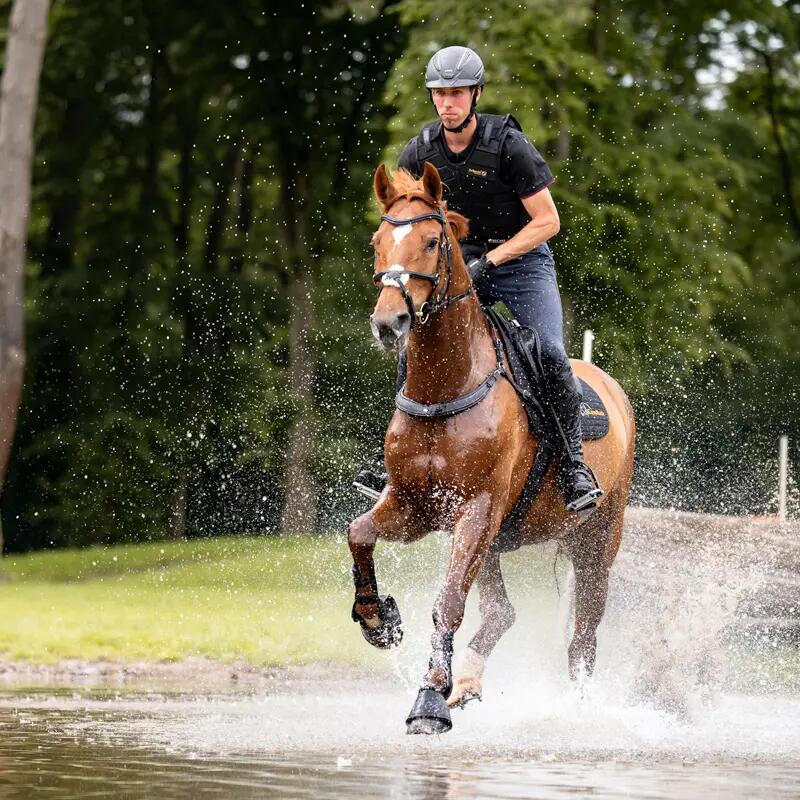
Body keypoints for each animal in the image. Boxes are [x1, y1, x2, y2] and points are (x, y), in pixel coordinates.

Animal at [347, 162, 636, 734]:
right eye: (376, 243)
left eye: (432, 241)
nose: (389, 323)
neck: (447, 384)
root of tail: (612, 389)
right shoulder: (416, 506)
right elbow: (359, 533)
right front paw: (379, 621)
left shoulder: (477, 509)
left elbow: (449, 603)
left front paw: (427, 701)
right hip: (499, 540)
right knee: (503, 611)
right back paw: (468, 682)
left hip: (596, 538)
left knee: (584, 634)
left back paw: (575, 708)